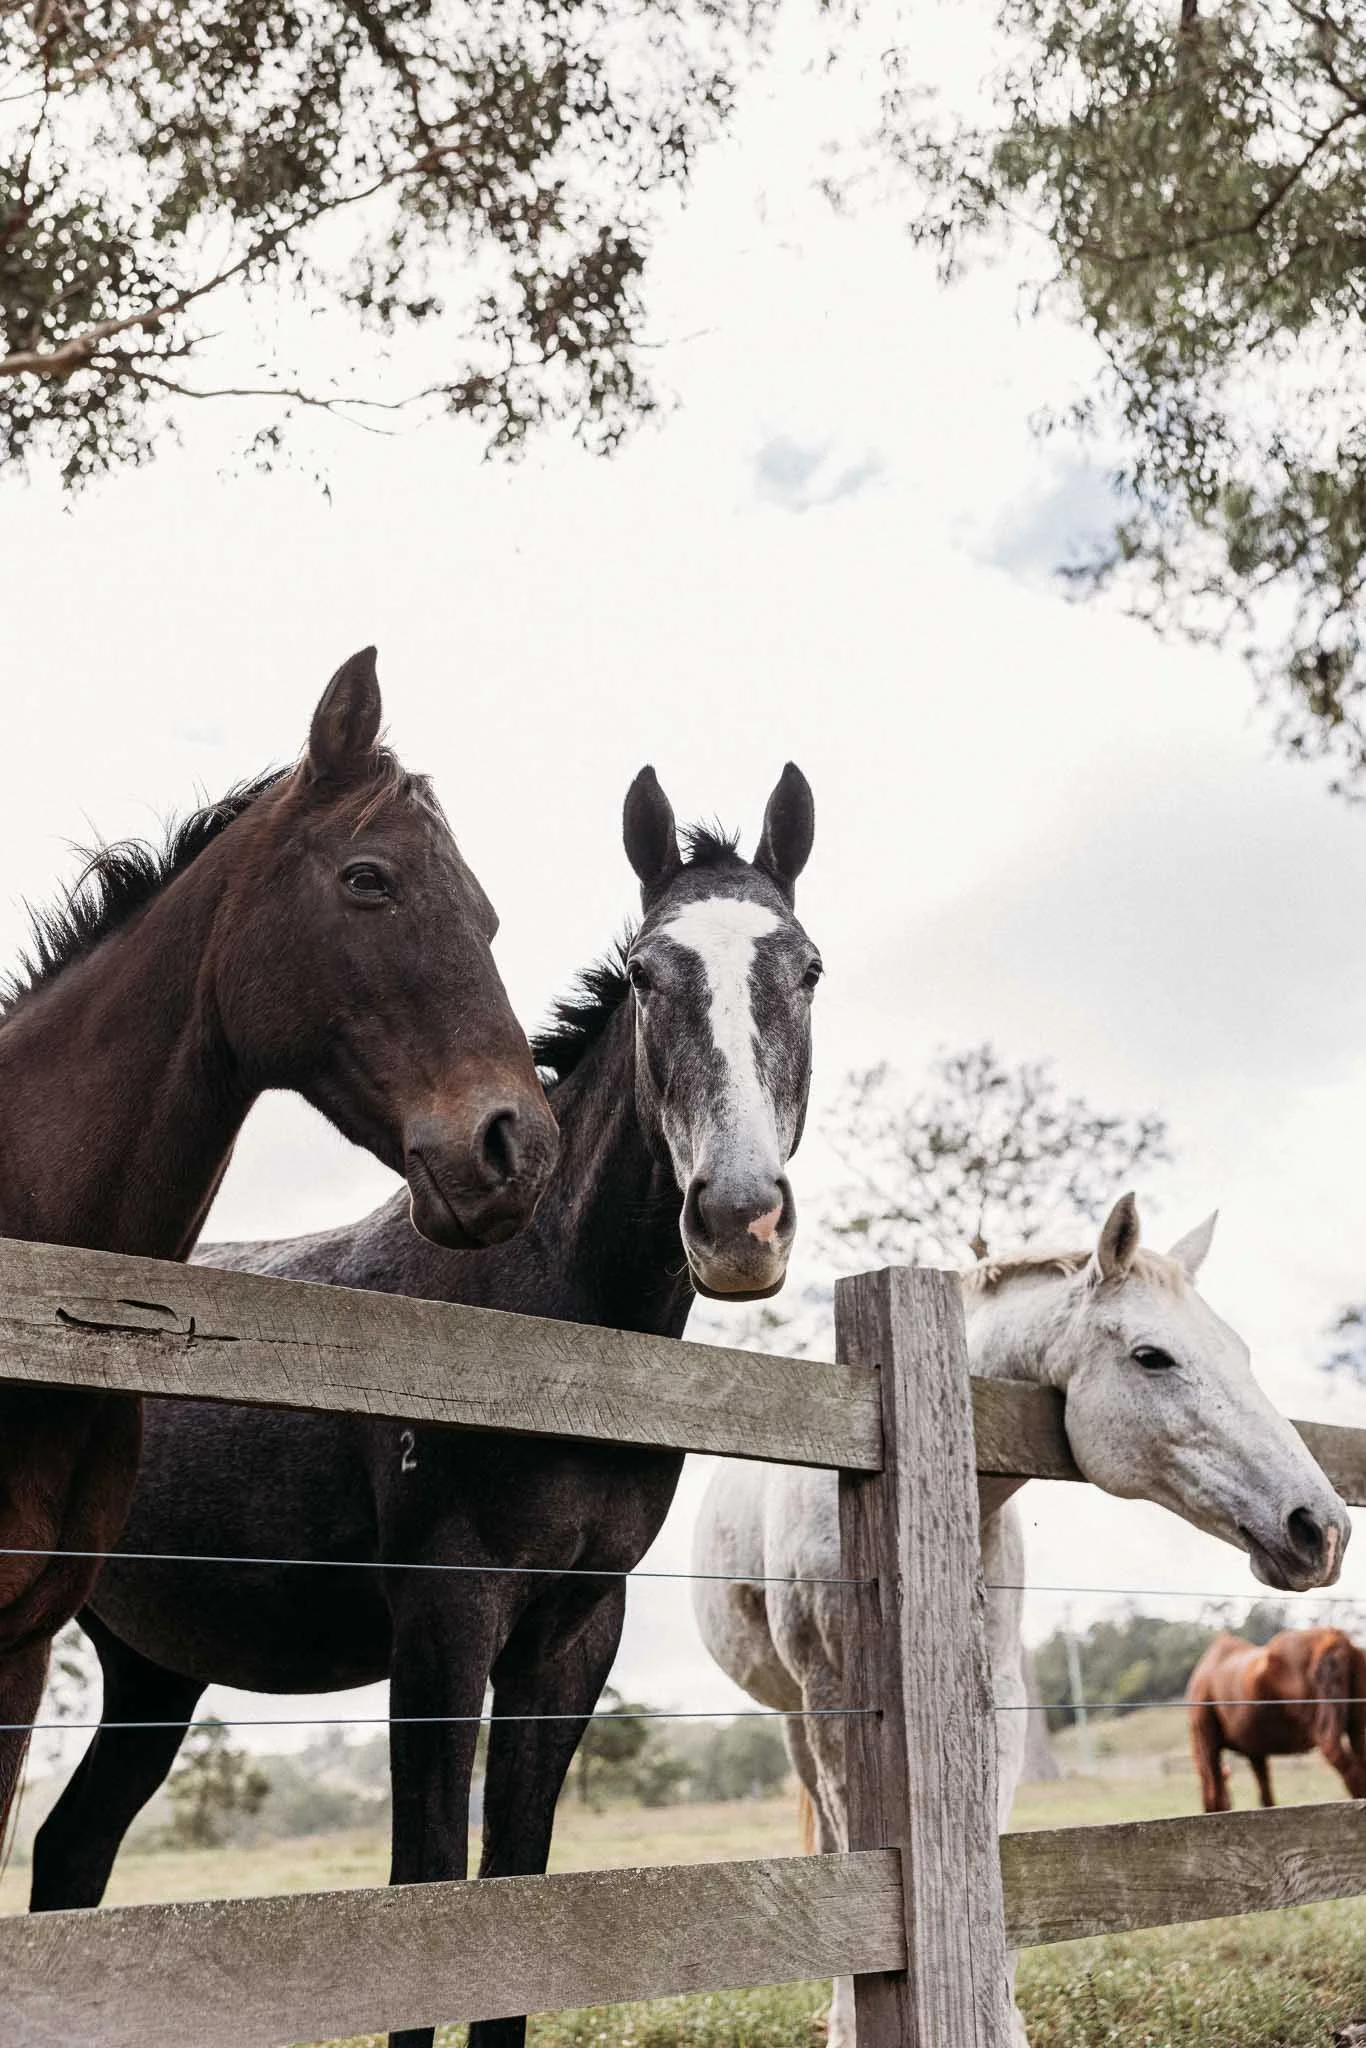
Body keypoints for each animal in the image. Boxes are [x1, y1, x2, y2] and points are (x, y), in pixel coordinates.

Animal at [31, 762, 819, 2048]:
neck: (538, 1318)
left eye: (804, 968)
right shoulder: (445, 1614)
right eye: (649, 971)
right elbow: (428, 1893)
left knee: (71, 1850)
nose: (737, 1217)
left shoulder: (571, 1630)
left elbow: (516, 1882)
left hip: (151, 1675)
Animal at [1187, 1625, 1366, 1811]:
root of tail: (1336, 1639)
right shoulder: (1255, 1751)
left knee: (1349, 1767)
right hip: (1357, 1724)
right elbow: (1266, 1795)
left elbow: (1213, 1792)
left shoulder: (1207, 1739)